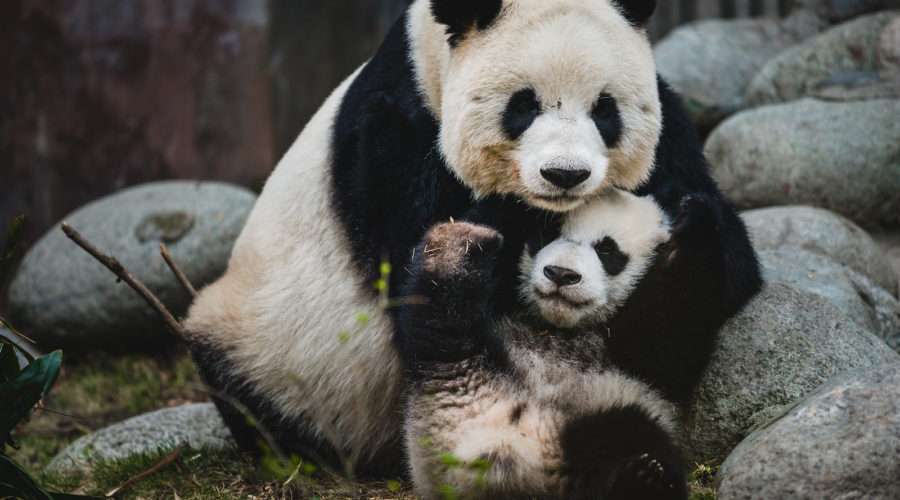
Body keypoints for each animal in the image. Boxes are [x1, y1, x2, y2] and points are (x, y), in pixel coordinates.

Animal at [399, 189, 725, 500]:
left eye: (606, 249)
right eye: (548, 234)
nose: (560, 274)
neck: (558, 326)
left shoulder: (639, 353)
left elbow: (671, 333)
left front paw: (695, 217)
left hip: (604, 406)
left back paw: (644, 478)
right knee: (441, 316)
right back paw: (458, 246)